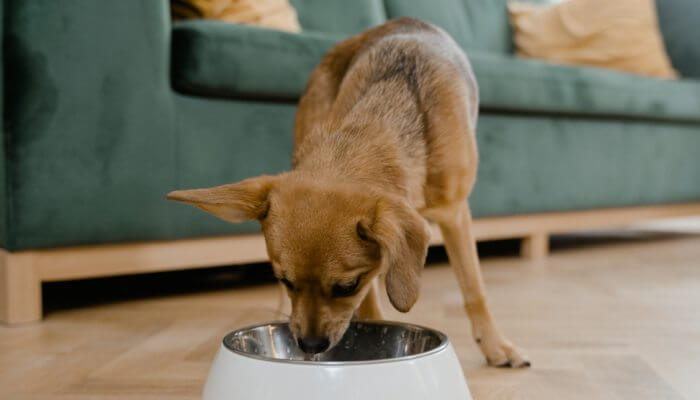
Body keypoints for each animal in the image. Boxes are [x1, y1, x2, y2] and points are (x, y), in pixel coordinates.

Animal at [170, 17, 528, 368]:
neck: (378, 123)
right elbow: (372, 306)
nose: (310, 345)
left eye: (346, 287)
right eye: (285, 281)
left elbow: (474, 288)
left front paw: (496, 345)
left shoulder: (454, 214)